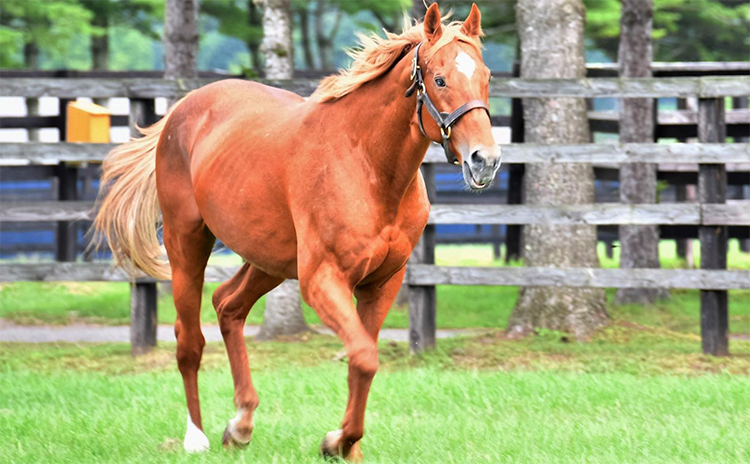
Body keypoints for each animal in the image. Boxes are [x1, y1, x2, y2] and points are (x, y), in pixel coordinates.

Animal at [95, 2, 500, 460]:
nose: (485, 160)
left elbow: (362, 360)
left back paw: (241, 424)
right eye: (440, 79)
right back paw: (196, 437)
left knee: (227, 305)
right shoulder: (323, 280)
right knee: (189, 340)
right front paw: (336, 441)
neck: (366, 164)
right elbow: (364, 357)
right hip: (188, 245)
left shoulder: (382, 284)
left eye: (486, 77)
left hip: (268, 261)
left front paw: (347, 446)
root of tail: (181, 111)